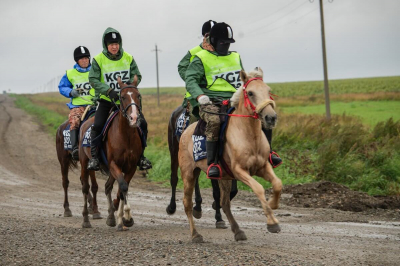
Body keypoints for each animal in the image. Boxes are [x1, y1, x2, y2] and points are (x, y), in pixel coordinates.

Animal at [78, 76, 142, 230]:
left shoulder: (131, 167)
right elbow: (123, 186)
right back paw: (86, 220)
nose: (134, 118)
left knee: (108, 187)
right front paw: (126, 216)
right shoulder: (114, 164)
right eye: (122, 97)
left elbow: (122, 188)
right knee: (85, 187)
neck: (126, 135)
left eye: (138, 95)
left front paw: (122, 219)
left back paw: (111, 218)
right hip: (84, 163)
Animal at [177, 67, 282, 242]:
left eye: (268, 91)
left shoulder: (263, 166)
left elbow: (278, 184)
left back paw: (238, 231)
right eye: (251, 93)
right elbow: (259, 188)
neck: (248, 136)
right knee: (187, 203)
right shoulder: (239, 171)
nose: (271, 117)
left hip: (223, 177)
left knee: (225, 203)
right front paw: (272, 222)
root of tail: (185, 131)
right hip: (189, 173)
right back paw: (195, 234)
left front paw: (273, 203)